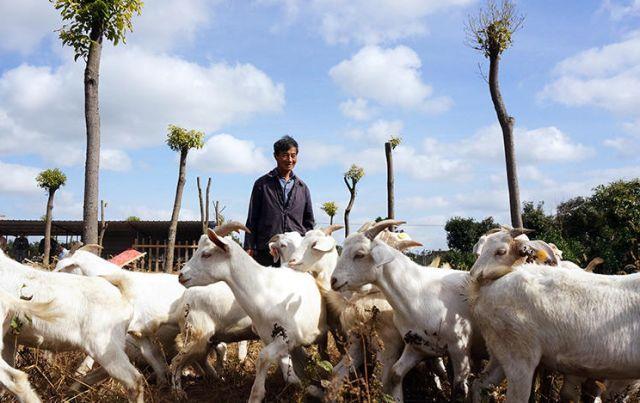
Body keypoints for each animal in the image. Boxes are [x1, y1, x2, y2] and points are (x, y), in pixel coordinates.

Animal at [179, 223, 324, 402]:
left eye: (206, 254)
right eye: (283, 245)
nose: (181, 275)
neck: (265, 288)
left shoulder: (287, 337)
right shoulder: (278, 338)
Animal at [468, 229, 640, 402]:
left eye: (501, 251)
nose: (474, 275)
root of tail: (484, 290)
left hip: (498, 352)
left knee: (479, 385)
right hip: (519, 357)